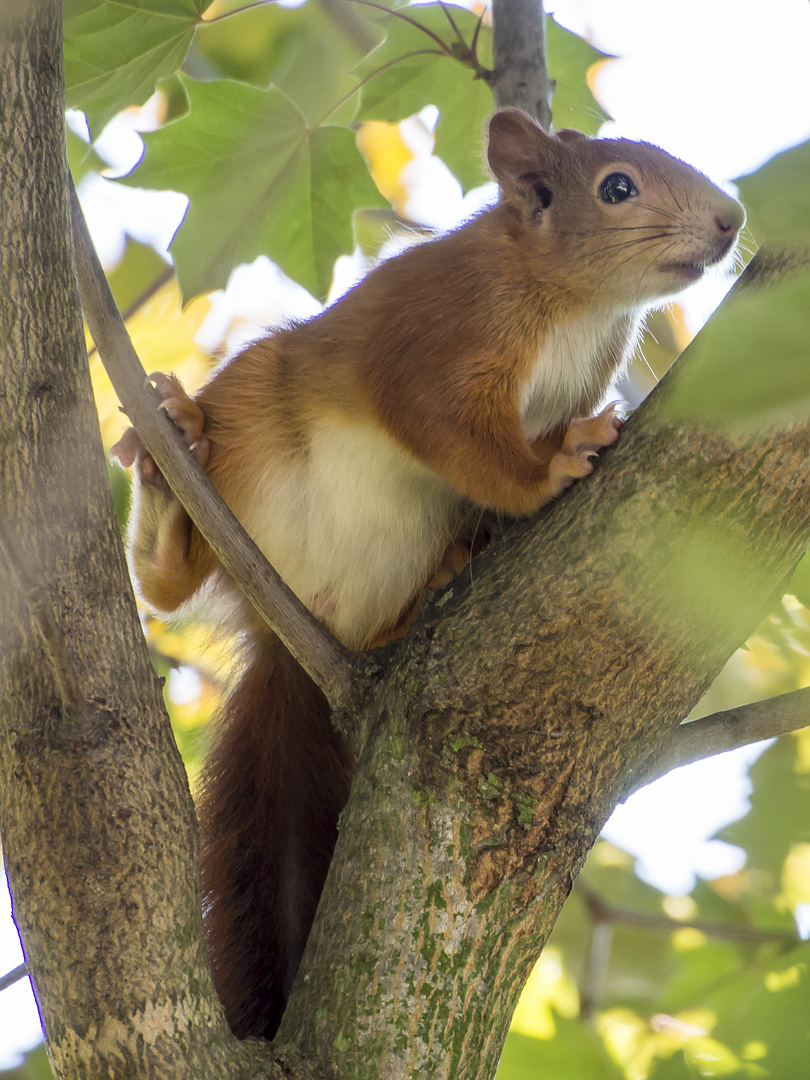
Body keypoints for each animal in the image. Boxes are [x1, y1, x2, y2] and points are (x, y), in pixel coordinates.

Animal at [111, 107, 747, 1036]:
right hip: (253, 417)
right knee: (166, 589)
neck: (574, 303)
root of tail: (301, 622)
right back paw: (168, 472)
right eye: (618, 187)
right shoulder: (443, 329)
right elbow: (447, 427)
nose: (732, 220)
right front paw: (552, 470)